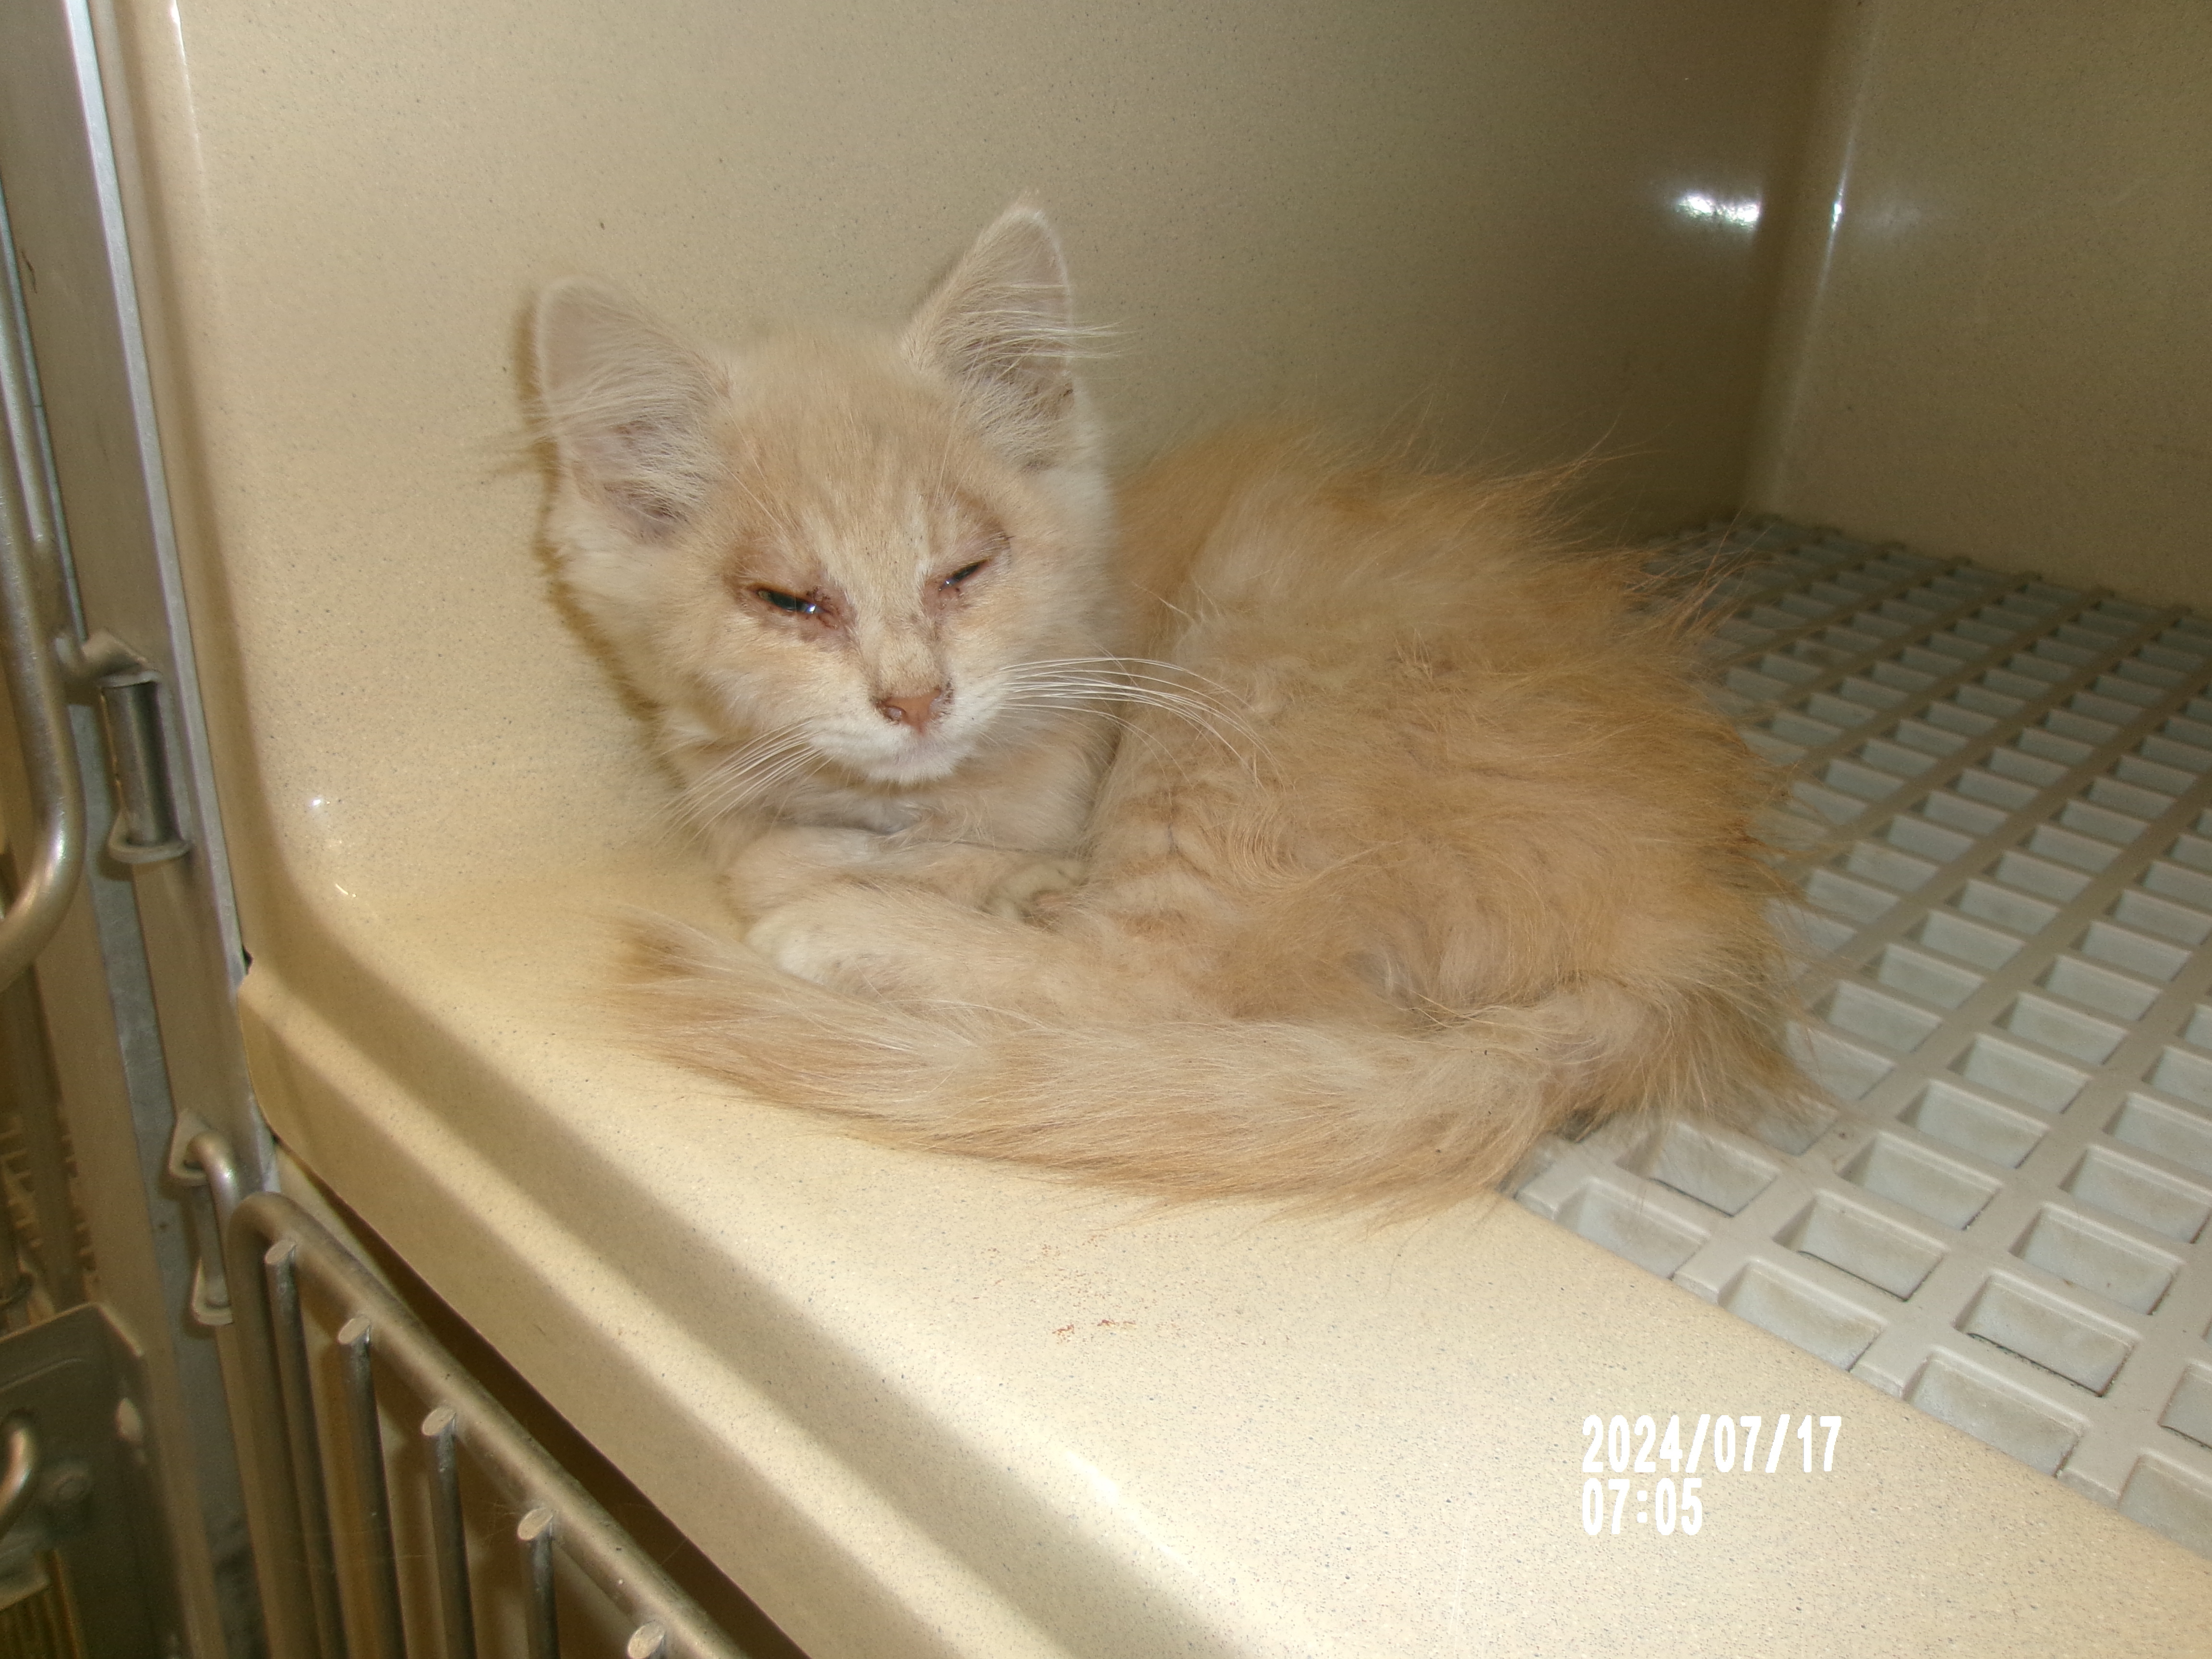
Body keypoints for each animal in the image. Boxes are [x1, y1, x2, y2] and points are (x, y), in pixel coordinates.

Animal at [540, 211, 1814, 1221]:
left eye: (966, 571)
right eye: (789, 602)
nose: (915, 697)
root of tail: (1684, 933)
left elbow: (795, 864)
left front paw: (900, 883)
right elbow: (769, 831)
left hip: (1243, 683)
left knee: (1162, 984)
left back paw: (863, 931)